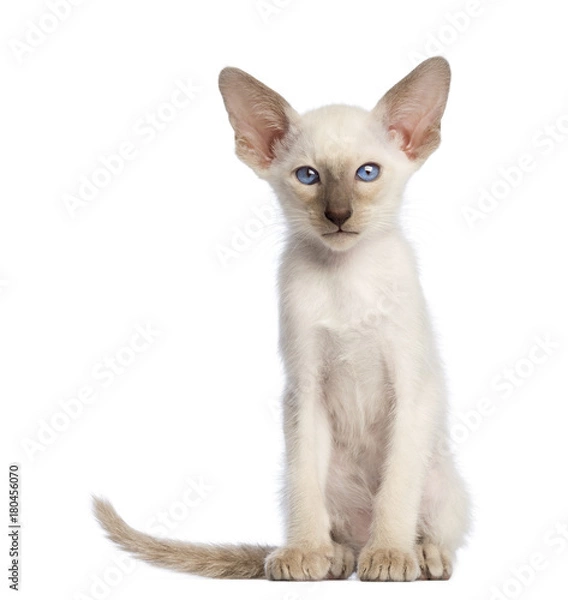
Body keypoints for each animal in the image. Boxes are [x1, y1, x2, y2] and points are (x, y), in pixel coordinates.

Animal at [95, 57, 472, 580]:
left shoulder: (411, 386)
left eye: (367, 173)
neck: (344, 277)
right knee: (336, 524)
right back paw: (335, 557)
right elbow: (303, 487)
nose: (338, 214)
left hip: (441, 477)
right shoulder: (304, 388)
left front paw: (391, 555)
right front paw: (303, 553)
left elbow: (396, 488)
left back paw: (420, 555)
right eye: (308, 176)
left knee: (428, 518)